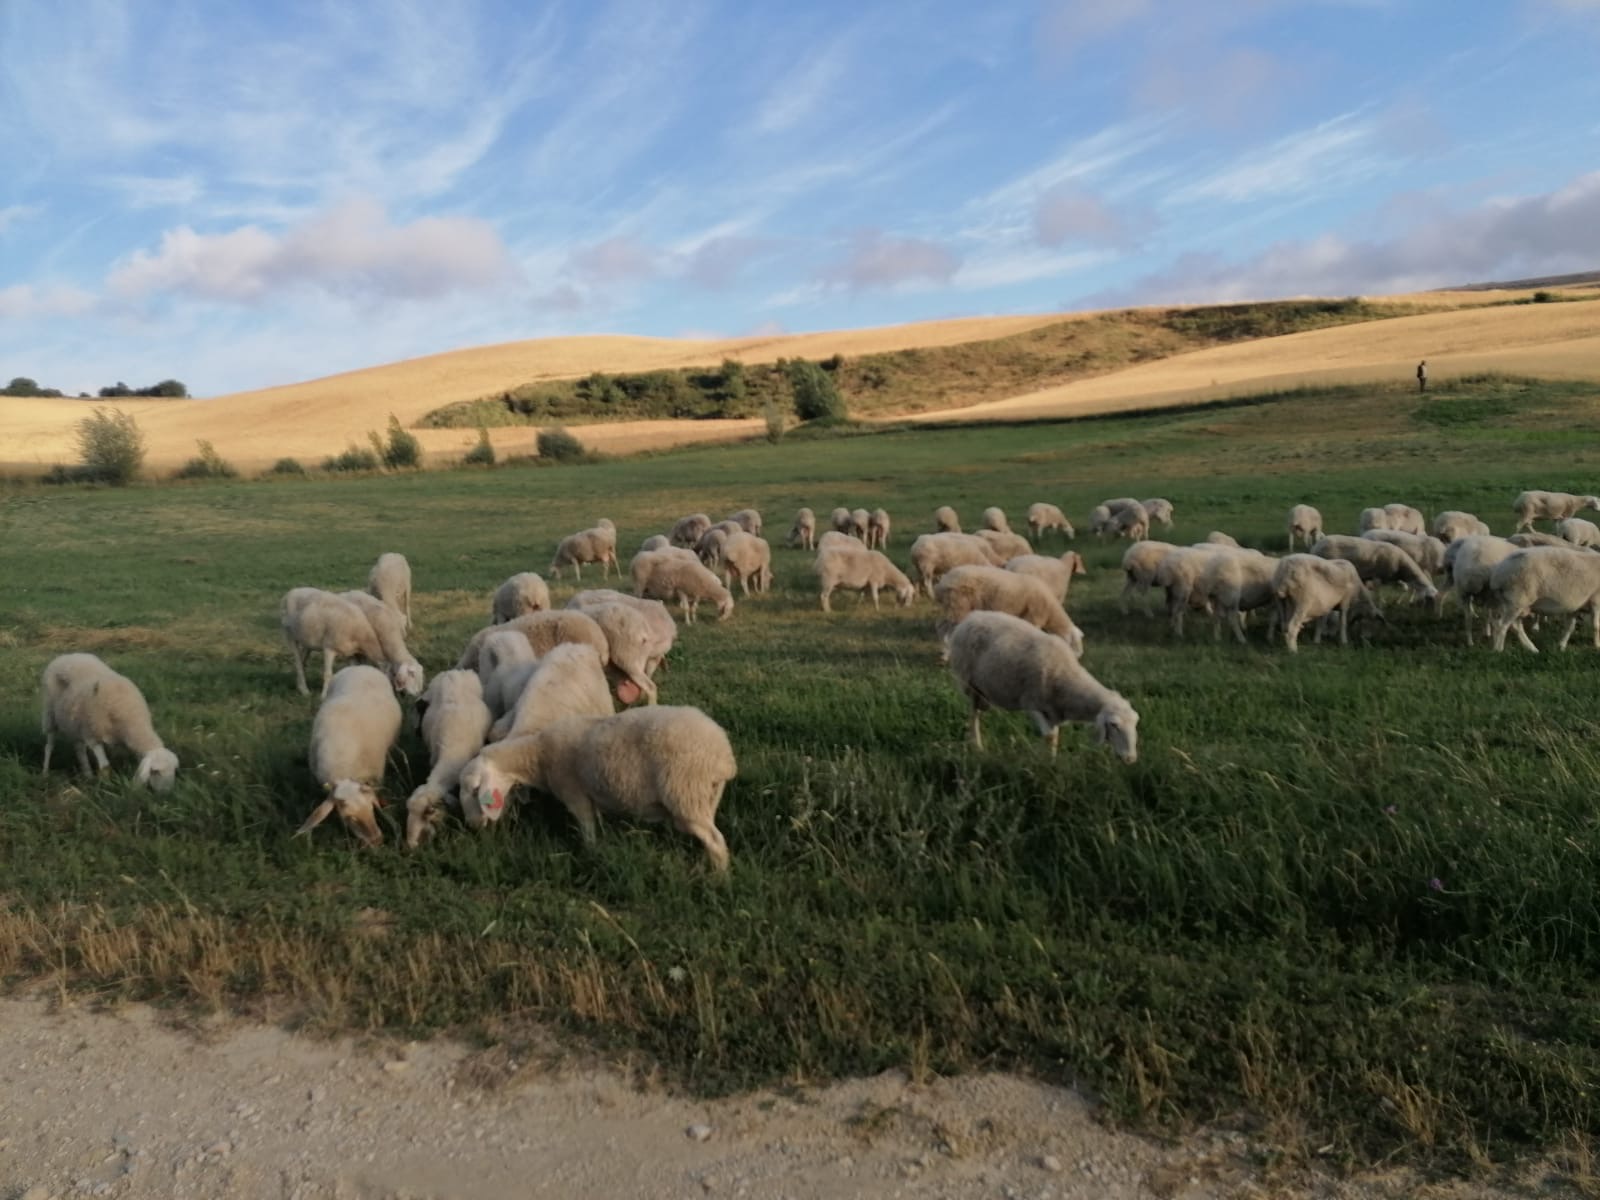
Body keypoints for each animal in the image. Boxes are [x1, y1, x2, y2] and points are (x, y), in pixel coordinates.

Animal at [40, 653, 179, 791]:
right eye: (155, 771)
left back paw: (88, 775)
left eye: (174, 771)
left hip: (74, 723)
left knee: (79, 749)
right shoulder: (93, 735)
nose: (166, 793)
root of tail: (67, 655)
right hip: (50, 715)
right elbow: (105, 766)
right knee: (49, 746)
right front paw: (105, 787)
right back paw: (45, 773)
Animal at [281, 587, 420, 698]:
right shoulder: (329, 648)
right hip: (290, 635)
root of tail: (291, 592)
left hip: (309, 639)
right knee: (298, 661)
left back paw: (300, 684)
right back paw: (304, 689)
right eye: (411, 675)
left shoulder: (355, 653)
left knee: (303, 658)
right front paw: (324, 696)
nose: (417, 695)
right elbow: (328, 674)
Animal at [456, 707, 737, 870]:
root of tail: (723, 755)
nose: (471, 826)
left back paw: (717, 879)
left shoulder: (574, 792)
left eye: (474, 790)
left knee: (716, 841)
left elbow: (587, 828)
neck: (538, 757)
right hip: (705, 796)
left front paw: (590, 853)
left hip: (686, 791)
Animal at [933, 566, 1083, 656]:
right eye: (1074, 646)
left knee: (940, 626)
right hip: (958, 605)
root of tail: (943, 583)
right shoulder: (1033, 616)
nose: (1077, 659)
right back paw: (947, 653)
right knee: (945, 629)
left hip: (952, 606)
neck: (1051, 612)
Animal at [947, 612, 1137, 761]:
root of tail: (970, 617)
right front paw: (1044, 762)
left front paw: (1051, 761)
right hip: (970, 684)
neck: (1067, 677)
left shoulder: (1053, 711)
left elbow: (1054, 738)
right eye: (1114, 725)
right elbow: (1049, 736)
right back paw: (977, 746)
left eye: (1136, 723)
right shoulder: (1032, 703)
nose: (1131, 758)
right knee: (973, 715)